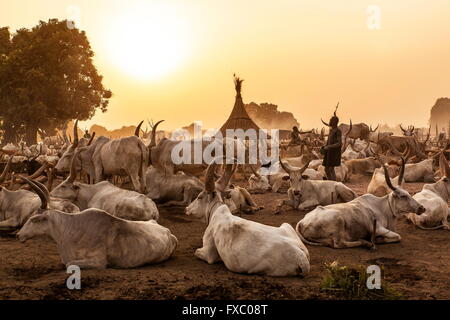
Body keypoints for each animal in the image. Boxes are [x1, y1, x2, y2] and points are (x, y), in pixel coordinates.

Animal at [17, 179, 177, 268]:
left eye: (34, 219)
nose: (19, 235)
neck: (69, 229)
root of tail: (168, 232)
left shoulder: (98, 262)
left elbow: (69, 264)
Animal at [296, 161, 426, 249]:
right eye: (403, 196)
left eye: (408, 193)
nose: (421, 208)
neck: (383, 207)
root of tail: (301, 222)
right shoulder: (378, 228)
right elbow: (398, 237)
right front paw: (378, 240)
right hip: (338, 220)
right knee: (339, 244)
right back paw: (366, 243)